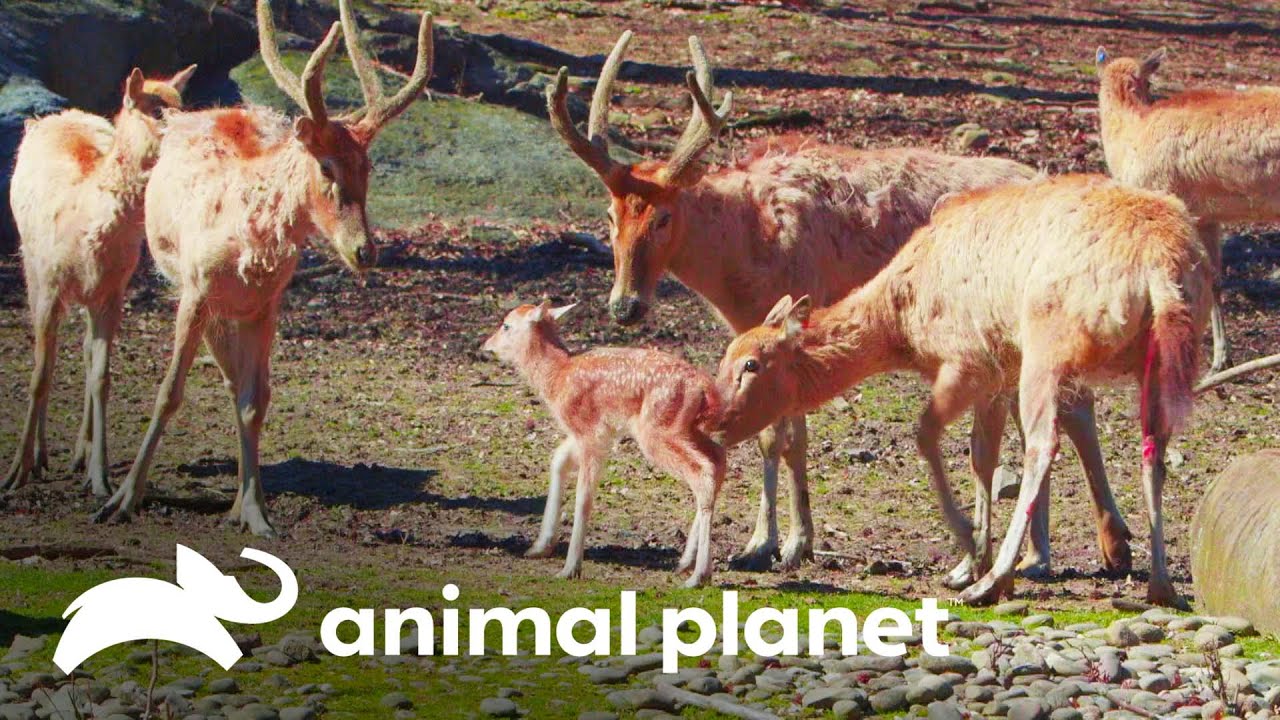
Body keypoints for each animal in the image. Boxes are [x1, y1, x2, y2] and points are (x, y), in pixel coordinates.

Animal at [3, 65, 197, 498]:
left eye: (183, 103)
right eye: (155, 108)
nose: (191, 138)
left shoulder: (112, 292)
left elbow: (102, 376)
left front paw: (100, 477)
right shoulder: (50, 281)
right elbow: (40, 373)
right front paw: (16, 472)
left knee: (86, 352)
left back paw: (78, 452)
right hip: (29, 263)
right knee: (51, 354)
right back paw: (41, 455)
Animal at [91, 0, 432, 537]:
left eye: (369, 167)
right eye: (327, 166)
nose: (364, 251)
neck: (244, 245)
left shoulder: (267, 305)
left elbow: (256, 401)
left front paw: (256, 512)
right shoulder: (194, 291)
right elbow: (169, 392)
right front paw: (122, 500)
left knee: (236, 384)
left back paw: (236, 501)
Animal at [483, 301, 725, 587]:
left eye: (506, 325)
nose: (486, 345)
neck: (557, 378)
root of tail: (705, 388)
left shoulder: (589, 431)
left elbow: (584, 496)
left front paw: (570, 568)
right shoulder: (596, 435)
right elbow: (558, 461)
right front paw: (539, 547)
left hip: (657, 430)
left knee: (702, 471)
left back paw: (699, 575)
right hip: (683, 428)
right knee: (718, 458)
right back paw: (687, 563)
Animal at [548, 31, 1127, 584]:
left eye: (664, 216)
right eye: (610, 214)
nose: (624, 306)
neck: (740, 257)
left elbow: (788, 437)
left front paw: (785, 544)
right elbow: (774, 435)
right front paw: (765, 543)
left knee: (1075, 406)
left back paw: (1088, 549)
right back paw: (1047, 553)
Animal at [716, 174, 1212, 606]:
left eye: (750, 364)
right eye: (724, 360)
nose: (717, 424)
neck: (901, 323)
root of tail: (1160, 268)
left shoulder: (968, 360)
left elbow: (930, 434)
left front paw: (969, 557)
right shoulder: (999, 371)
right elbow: (982, 456)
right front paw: (969, 560)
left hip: (1048, 345)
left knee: (1042, 444)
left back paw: (993, 582)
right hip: (1159, 358)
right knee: (1152, 447)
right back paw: (1161, 586)